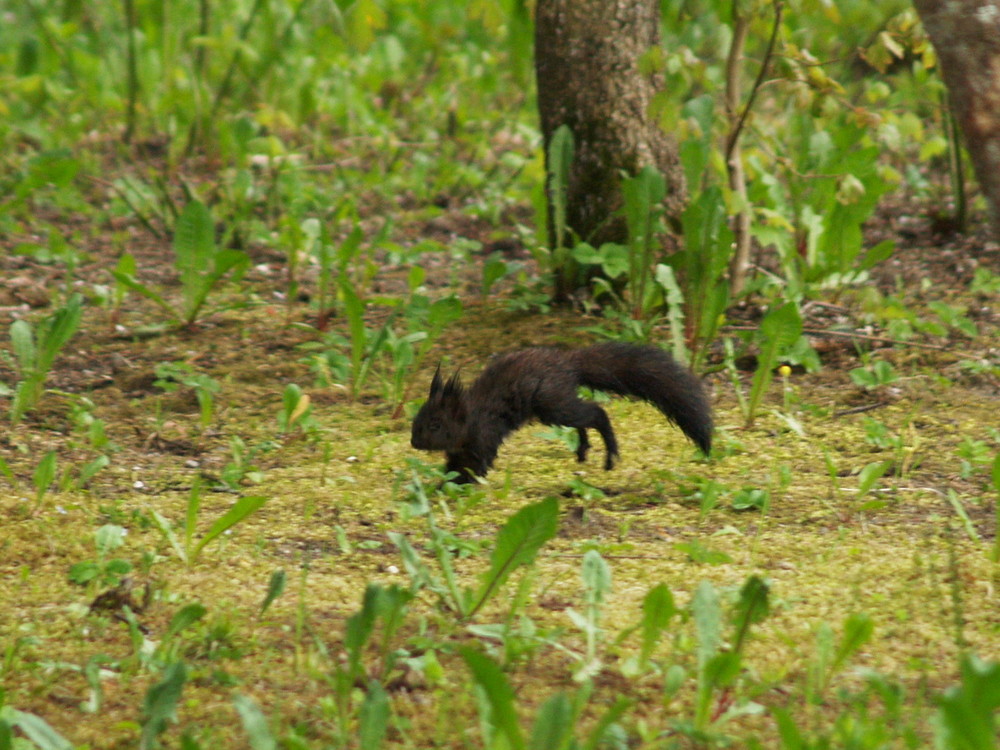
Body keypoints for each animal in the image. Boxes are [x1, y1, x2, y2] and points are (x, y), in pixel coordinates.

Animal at [408, 344, 712, 484]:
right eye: (417, 419)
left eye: (435, 425)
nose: (414, 442)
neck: (471, 417)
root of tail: (568, 363)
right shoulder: (458, 450)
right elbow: (453, 467)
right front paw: (443, 485)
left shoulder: (484, 437)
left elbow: (476, 465)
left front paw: (462, 484)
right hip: (556, 405)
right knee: (583, 421)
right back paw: (583, 450)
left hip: (551, 402)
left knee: (596, 413)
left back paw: (609, 454)